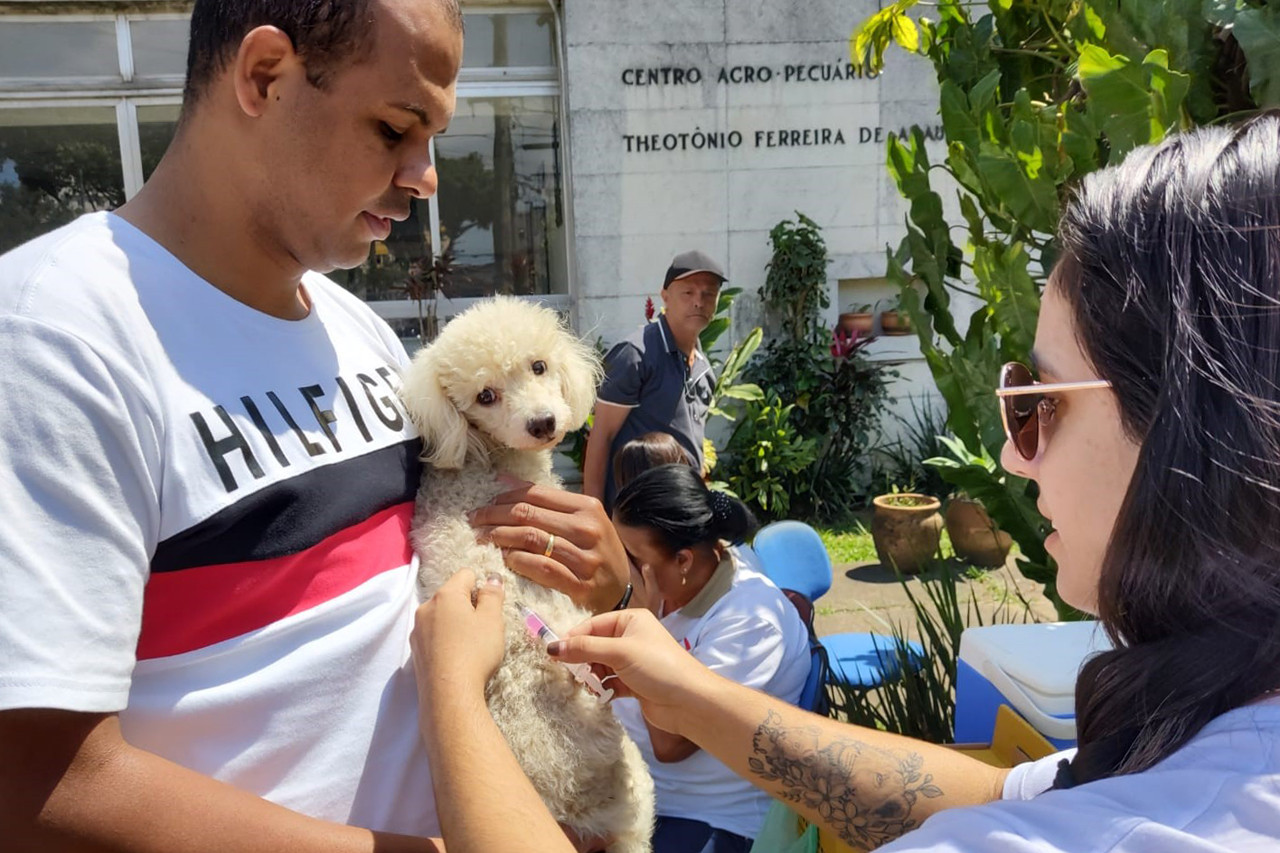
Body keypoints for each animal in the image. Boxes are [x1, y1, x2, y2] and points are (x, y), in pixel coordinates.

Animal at [399, 297, 655, 850]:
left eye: (539, 366)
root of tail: (571, 802)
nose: (542, 422)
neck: (486, 460)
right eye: (485, 396)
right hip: (634, 781)